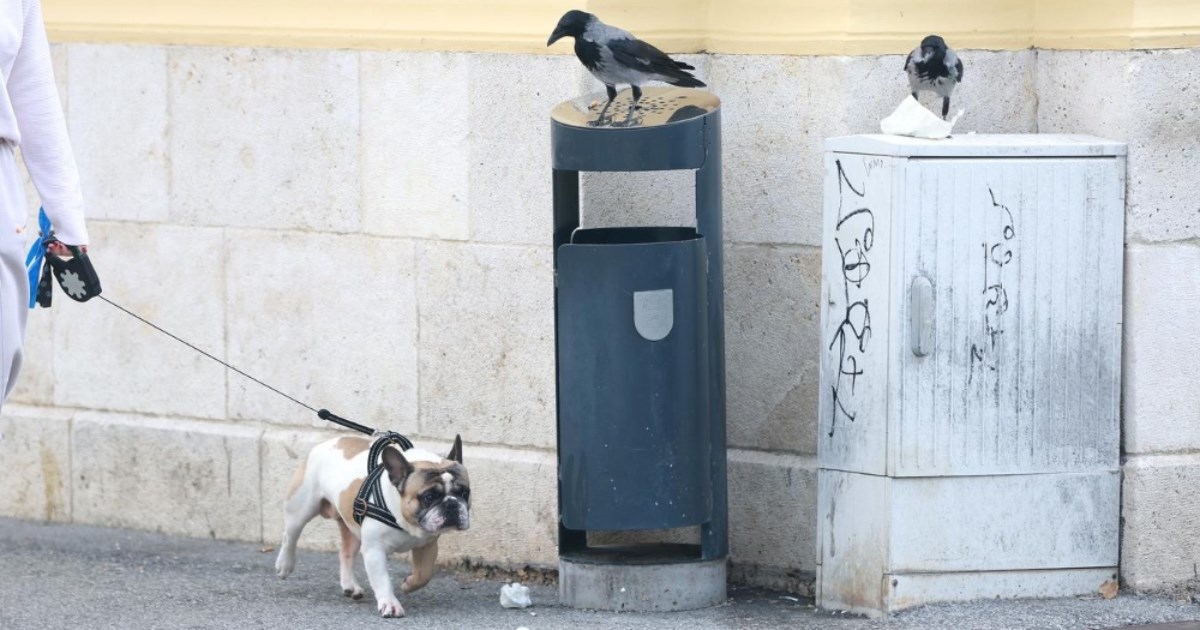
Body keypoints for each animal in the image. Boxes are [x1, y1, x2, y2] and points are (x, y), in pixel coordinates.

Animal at [276, 434, 468, 614]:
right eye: (428, 497)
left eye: (465, 493)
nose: (451, 504)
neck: (405, 520)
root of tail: (328, 442)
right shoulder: (375, 550)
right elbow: (382, 579)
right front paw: (390, 604)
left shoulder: (427, 545)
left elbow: (424, 574)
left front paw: (408, 584)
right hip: (300, 508)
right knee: (289, 536)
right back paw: (284, 565)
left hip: (353, 528)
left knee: (346, 553)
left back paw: (350, 585)